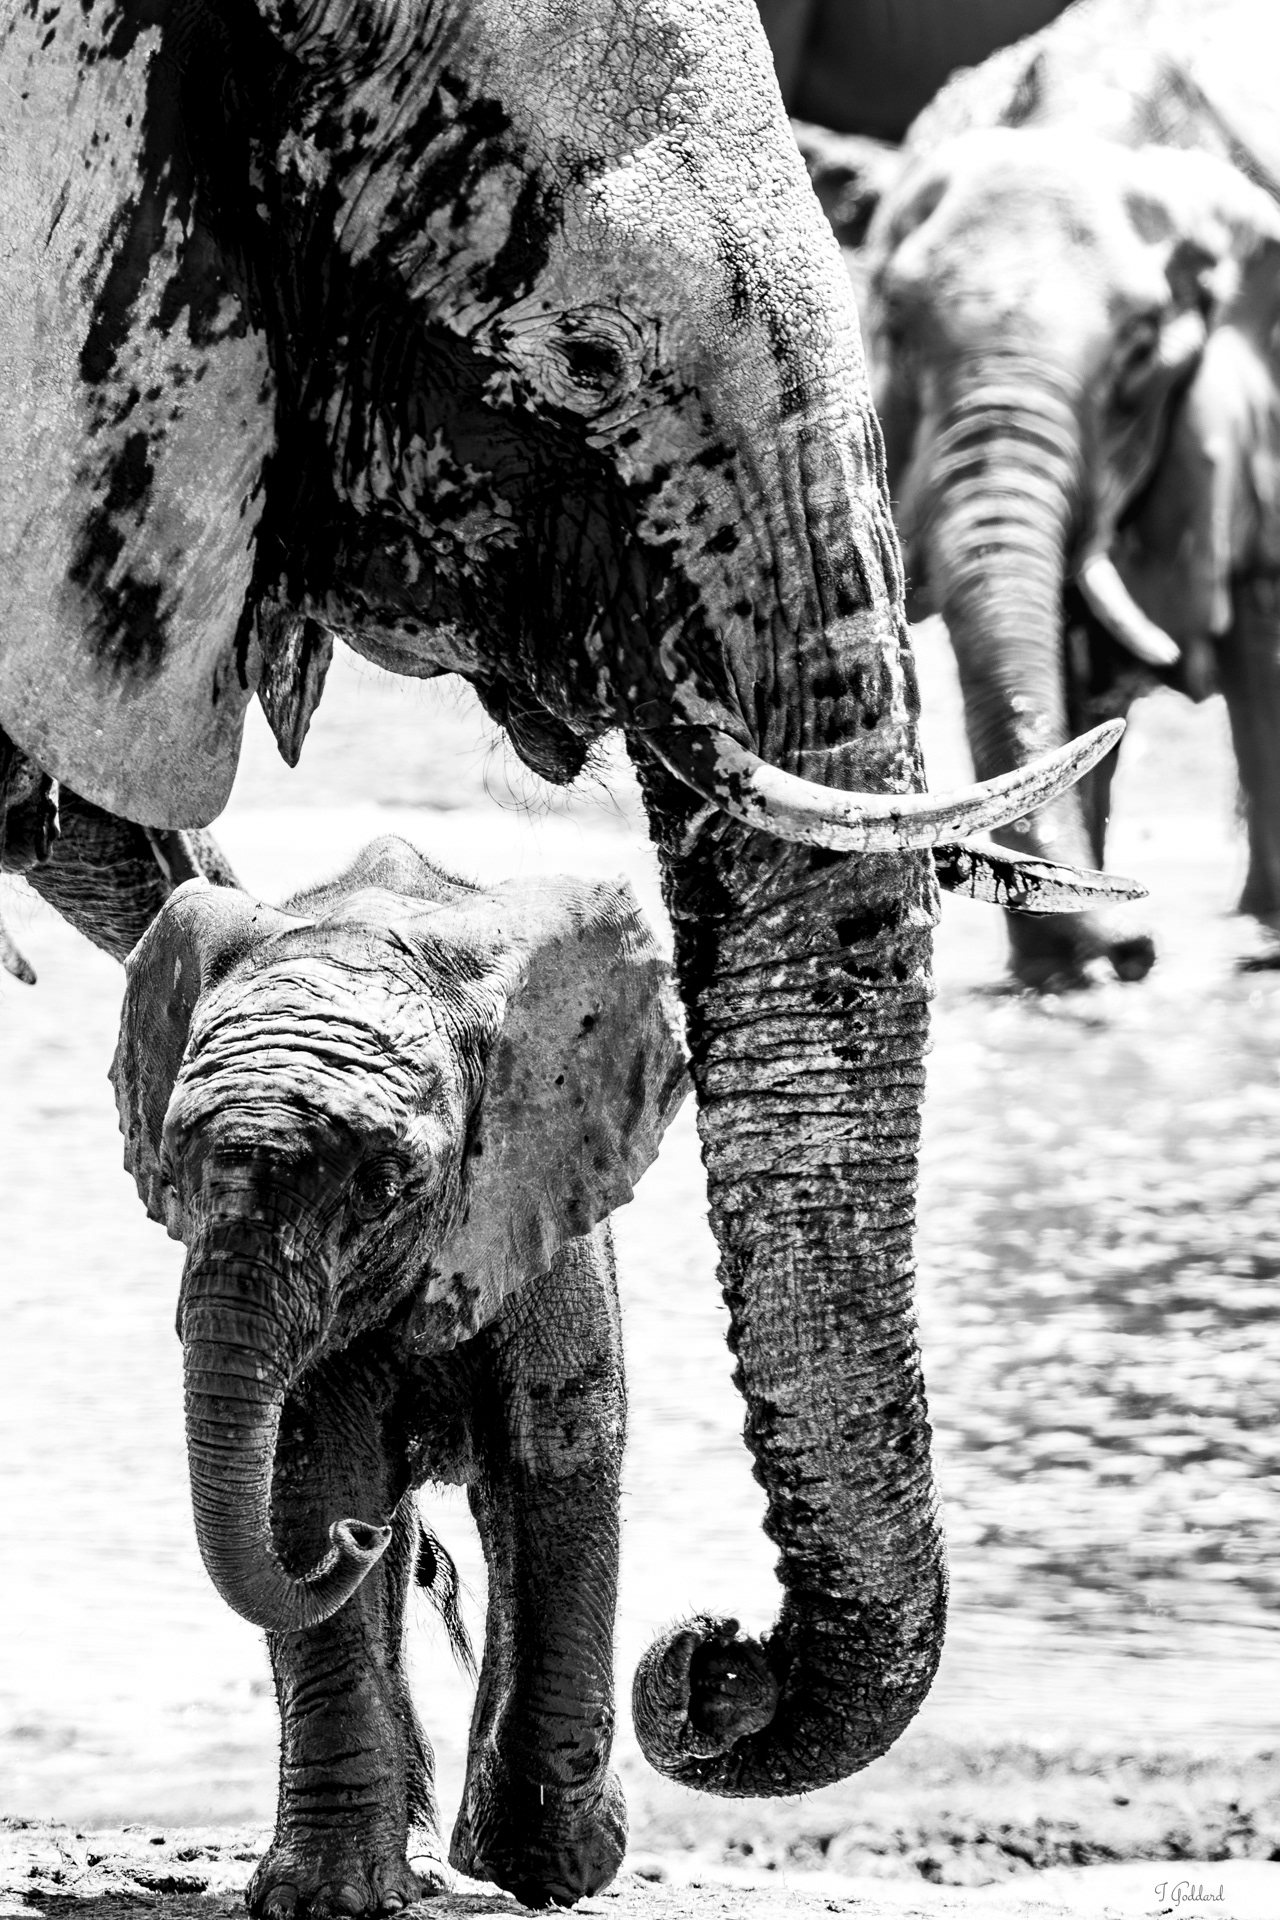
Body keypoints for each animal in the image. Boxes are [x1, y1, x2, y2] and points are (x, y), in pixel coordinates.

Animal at [110, 834, 687, 1907]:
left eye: (383, 1186)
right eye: (173, 1163)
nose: (363, 1540)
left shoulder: (545, 1210)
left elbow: (553, 1465)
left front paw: (557, 1873)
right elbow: (313, 1481)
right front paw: (325, 1899)